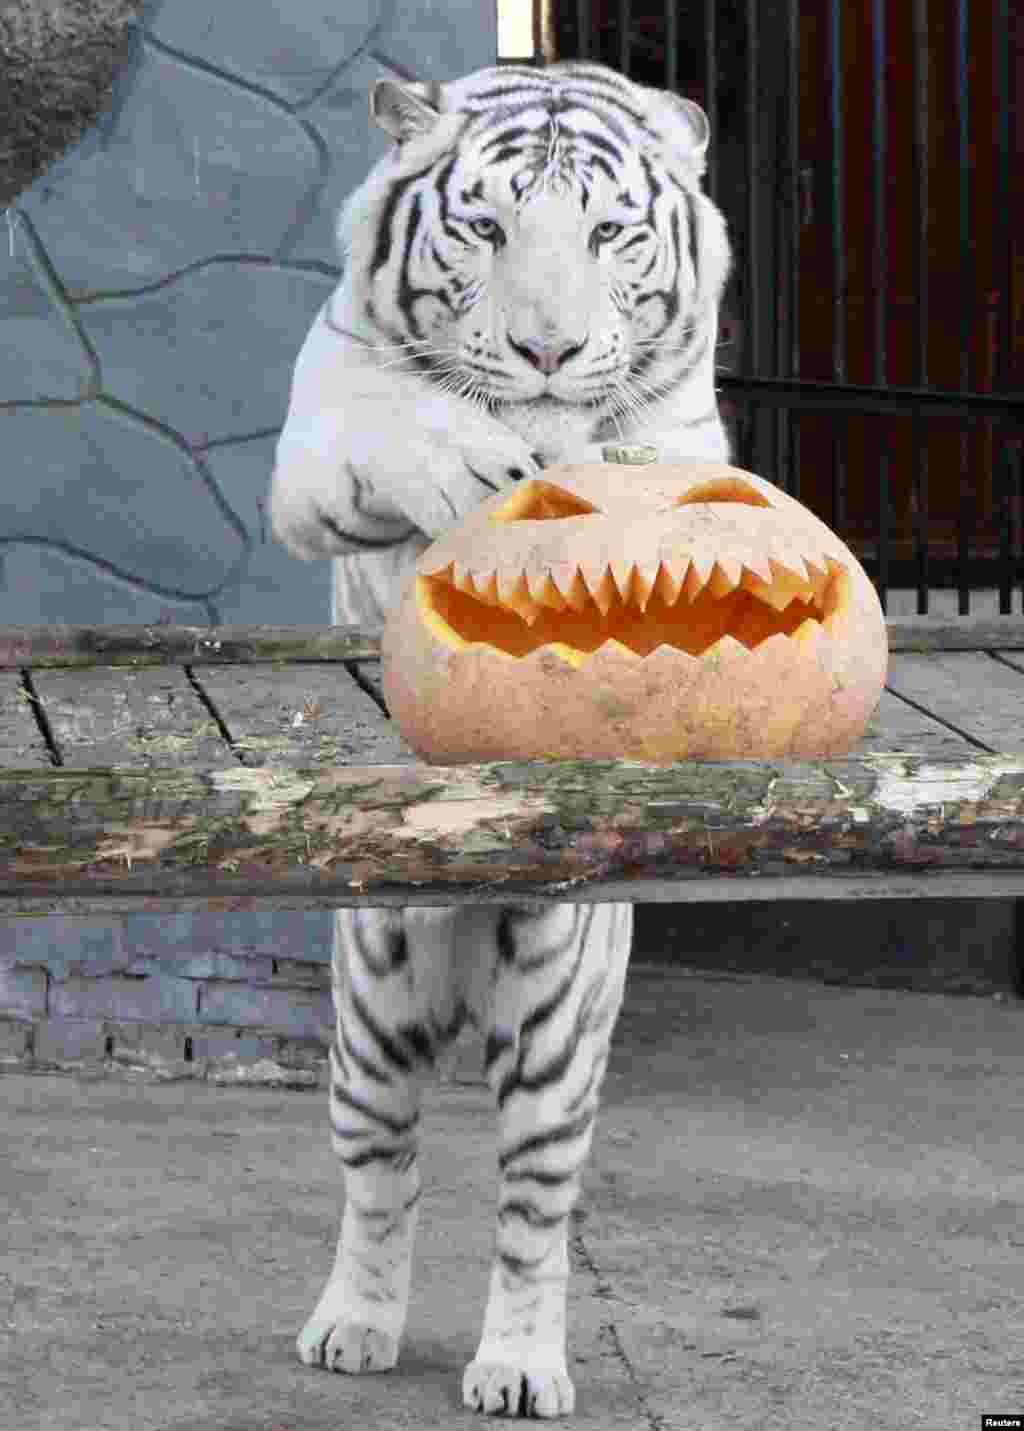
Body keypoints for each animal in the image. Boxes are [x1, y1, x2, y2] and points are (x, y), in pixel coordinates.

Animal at [271, 58, 732, 1419]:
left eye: (610, 234)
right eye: (484, 229)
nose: (546, 351)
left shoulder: (685, 436)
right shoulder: (311, 448)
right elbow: (399, 422)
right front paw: (472, 460)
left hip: (559, 1027)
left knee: (532, 1210)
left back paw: (519, 1365)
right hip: (371, 1011)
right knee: (383, 1178)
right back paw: (353, 1327)